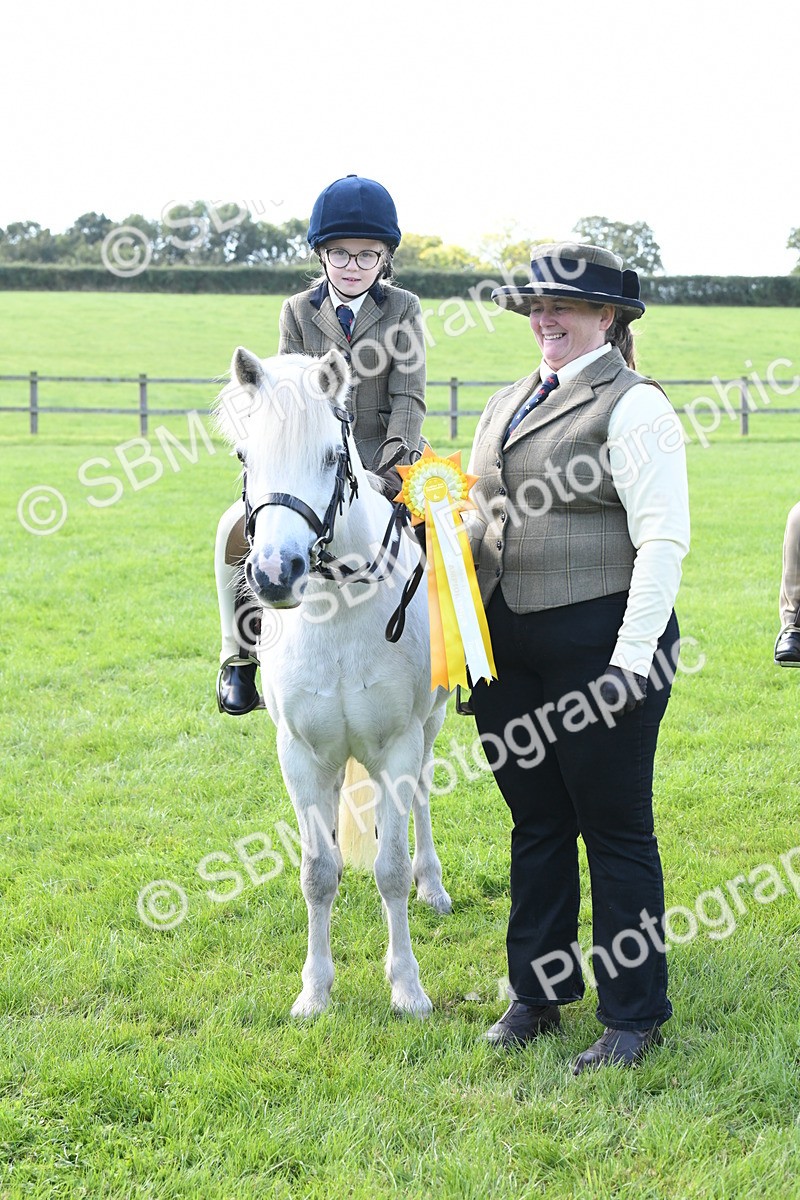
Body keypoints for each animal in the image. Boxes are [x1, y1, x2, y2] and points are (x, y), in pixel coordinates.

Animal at [213, 346, 452, 1017]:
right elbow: (318, 872)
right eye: (245, 456)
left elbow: (391, 868)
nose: (275, 574)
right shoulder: (301, 755)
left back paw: (433, 886)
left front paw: (407, 989)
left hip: (429, 725)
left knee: (421, 799)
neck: (339, 603)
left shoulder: (397, 745)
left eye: (329, 455)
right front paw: (315, 991)